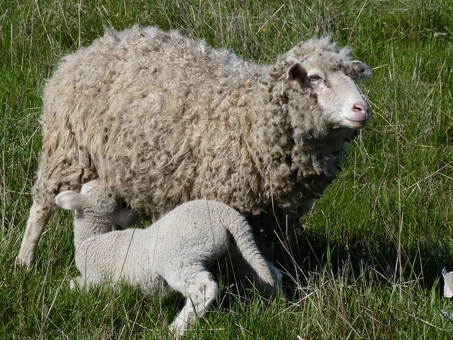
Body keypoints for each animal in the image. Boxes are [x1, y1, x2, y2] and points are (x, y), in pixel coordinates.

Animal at [17, 25, 370, 274]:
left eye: (352, 76)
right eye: (315, 78)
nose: (362, 109)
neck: (249, 115)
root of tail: (93, 47)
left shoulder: (273, 215)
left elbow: (264, 255)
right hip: (66, 150)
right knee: (41, 206)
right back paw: (24, 262)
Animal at [54, 179, 280, 336]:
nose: (117, 189)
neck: (91, 237)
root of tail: (225, 213)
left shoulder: (98, 281)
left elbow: (75, 285)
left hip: (180, 257)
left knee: (203, 288)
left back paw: (177, 329)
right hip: (237, 252)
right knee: (270, 273)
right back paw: (277, 304)